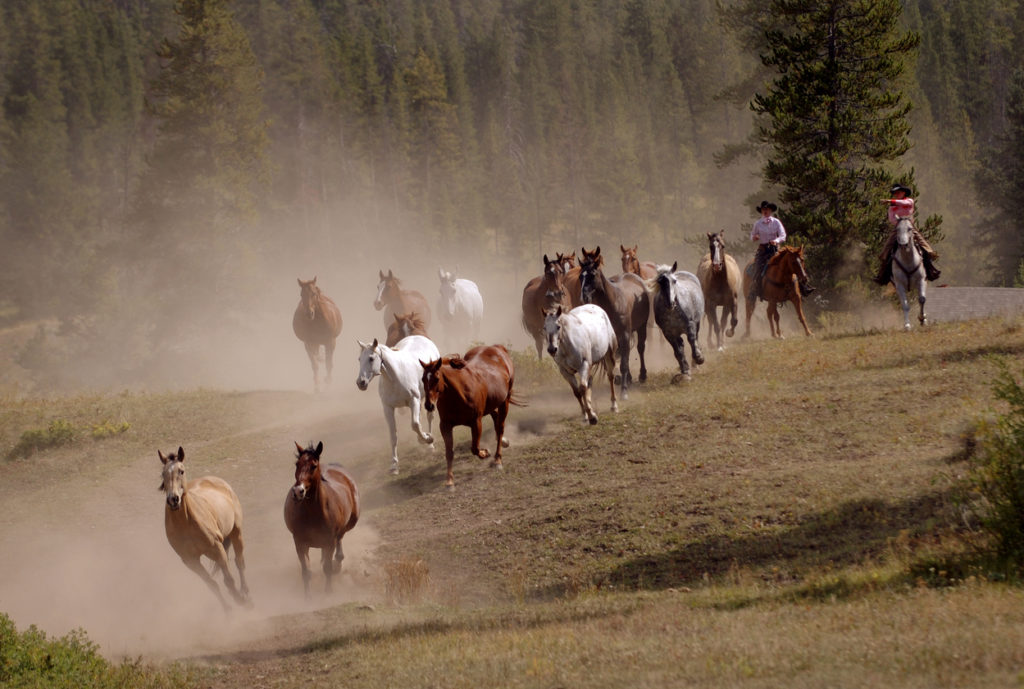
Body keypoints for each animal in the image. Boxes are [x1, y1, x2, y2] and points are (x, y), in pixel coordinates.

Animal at [157, 448, 249, 610]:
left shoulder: (217, 549)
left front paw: (240, 601)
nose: (173, 499)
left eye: (181, 471)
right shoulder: (191, 561)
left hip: (236, 532)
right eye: (163, 474)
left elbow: (228, 580)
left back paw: (245, 594)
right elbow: (212, 585)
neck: (185, 524)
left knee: (240, 562)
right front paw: (228, 610)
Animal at [284, 440, 360, 597]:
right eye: (297, 464)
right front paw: (308, 597)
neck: (313, 513)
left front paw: (328, 592)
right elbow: (306, 572)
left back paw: (338, 563)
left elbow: (327, 568)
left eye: (313, 466)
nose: (298, 491)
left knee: (340, 540)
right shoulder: (299, 543)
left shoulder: (329, 541)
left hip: (349, 524)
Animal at [354, 335, 438, 475]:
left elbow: (415, 424)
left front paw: (428, 439)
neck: (395, 378)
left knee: (429, 417)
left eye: (371, 358)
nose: (361, 383)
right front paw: (394, 465)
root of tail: (421, 337)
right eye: (360, 359)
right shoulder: (388, 408)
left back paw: (430, 444)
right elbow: (393, 435)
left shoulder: (414, 400)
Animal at [421, 343, 520, 489]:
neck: (459, 394)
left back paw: (497, 460)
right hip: (491, 403)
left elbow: (474, 448)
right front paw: (449, 481)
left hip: (504, 401)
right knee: (496, 420)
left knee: (500, 426)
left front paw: (485, 453)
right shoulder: (445, 425)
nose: (429, 405)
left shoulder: (476, 422)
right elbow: (449, 453)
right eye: (423, 379)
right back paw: (503, 442)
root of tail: (497, 348)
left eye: (436, 379)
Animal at [577, 245, 647, 397]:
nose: (584, 297)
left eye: (593, 274)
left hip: (642, 327)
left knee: (640, 348)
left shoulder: (625, 334)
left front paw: (624, 391)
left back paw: (642, 375)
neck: (613, 302)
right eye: (580, 276)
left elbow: (624, 363)